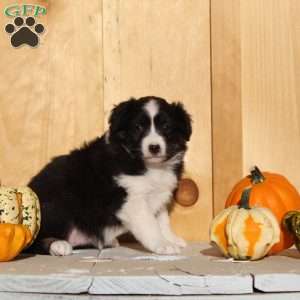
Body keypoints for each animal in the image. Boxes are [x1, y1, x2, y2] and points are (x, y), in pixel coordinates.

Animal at [28, 96, 192, 255]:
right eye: (138, 127)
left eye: (166, 127)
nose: (154, 147)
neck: (149, 166)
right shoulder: (131, 200)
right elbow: (150, 224)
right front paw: (163, 245)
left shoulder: (158, 195)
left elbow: (163, 221)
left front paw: (171, 239)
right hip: (57, 205)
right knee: (33, 242)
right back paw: (58, 245)